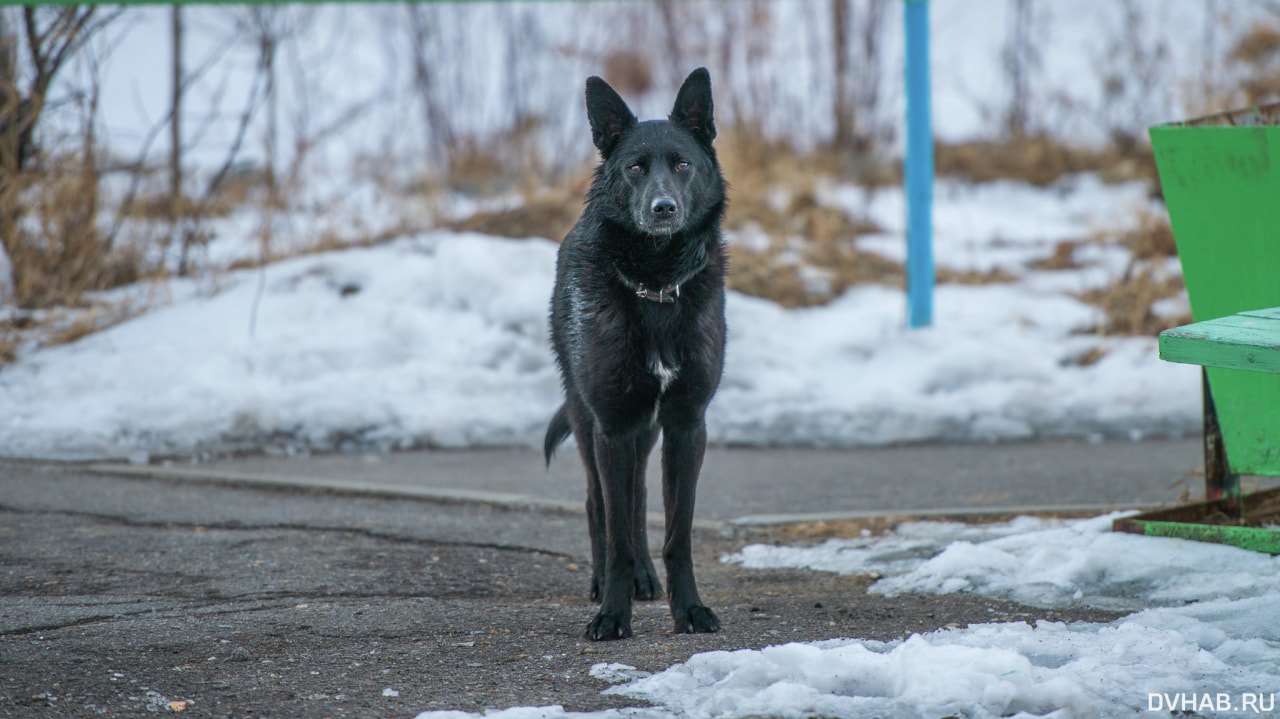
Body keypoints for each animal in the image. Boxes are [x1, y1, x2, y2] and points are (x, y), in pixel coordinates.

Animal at [542, 68, 727, 637]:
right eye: (635, 168)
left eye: (683, 164)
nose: (662, 208)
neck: (657, 284)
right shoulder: (613, 425)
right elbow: (617, 529)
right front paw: (611, 615)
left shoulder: (686, 425)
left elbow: (676, 533)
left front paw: (689, 609)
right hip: (589, 423)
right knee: (598, 504)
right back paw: (604, 582)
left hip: (645, 431)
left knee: (639, 497)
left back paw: (647, 579)